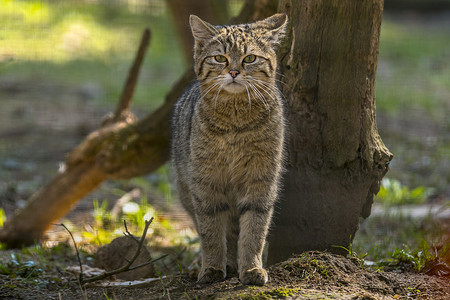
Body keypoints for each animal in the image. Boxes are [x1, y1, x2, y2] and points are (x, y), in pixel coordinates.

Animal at [171, 14, 286, 286]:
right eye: (220, 58)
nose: (233, 72)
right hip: (186, 191)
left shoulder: (260, 179)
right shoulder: (206, 182)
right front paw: (212, 268)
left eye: (250, 58)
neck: (236, 122)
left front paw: (252, 267)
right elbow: (211, 232)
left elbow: (254, 230)